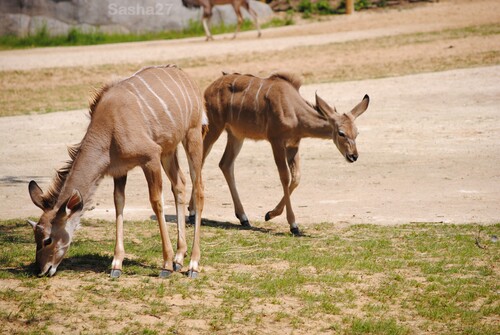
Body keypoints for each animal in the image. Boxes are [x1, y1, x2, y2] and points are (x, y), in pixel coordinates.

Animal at [26, 64, 207, 280]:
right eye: (35, 236)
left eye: (48, 239)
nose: (41, 270)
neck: (109, 127)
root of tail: (186, 78)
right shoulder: (120, 170)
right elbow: (119, 203)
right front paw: (116, 264)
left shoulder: (151, 157)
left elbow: (156, 203)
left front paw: (165, 265)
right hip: (169, 150)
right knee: (179, 184)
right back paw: (179, 258)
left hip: (192, 136)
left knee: (198, 190)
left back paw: (193, 265)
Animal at [193, 72, 370, 236]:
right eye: (341, 133)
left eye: (357, 132)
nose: (353, 156)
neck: (294, 110)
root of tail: (209, 89)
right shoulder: (276, 141)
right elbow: (284, 177)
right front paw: (293, 225)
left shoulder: (293, 144)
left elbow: (296, 178)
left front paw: (270, 214)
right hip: (214, 127)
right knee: (200, 161)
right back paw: (193, 213)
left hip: (236, 135)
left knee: (225, 164)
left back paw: (243, 218)